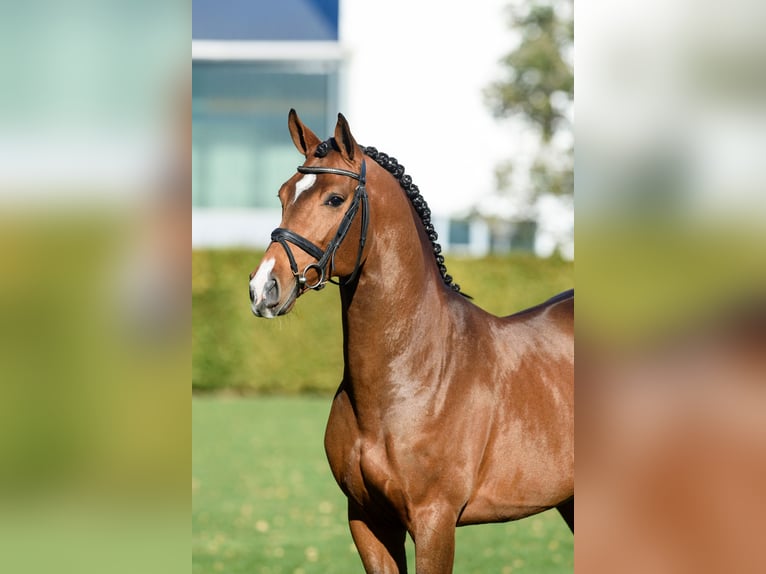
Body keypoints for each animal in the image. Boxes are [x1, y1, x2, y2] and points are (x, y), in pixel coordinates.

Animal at [249, 110, 572, 572]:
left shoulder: (434, 520)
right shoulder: (368, 519)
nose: (263, 288)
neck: (414, 374)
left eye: (334, 199)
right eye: (283, 194)